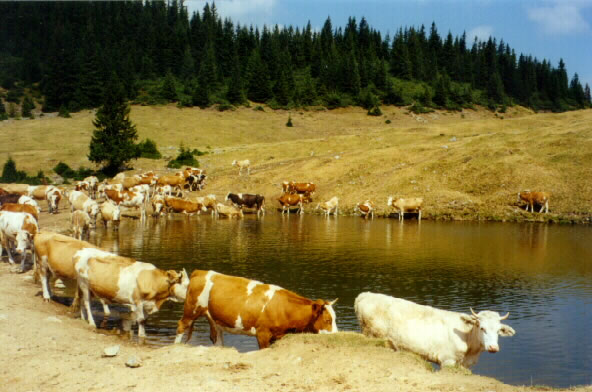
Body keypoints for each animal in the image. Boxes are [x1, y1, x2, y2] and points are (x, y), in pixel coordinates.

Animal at [173, 270, 338, 350]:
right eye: (327, 320)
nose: (337, 335)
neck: (282, 308)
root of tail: (200, 272)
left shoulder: (277, 335)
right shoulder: (262, 333)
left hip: (214, 319)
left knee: (217, 337)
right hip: (192, 309)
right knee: (181, 326)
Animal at [354, 292, 516, 370]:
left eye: (498, 330)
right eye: (482, 328)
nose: (493, 348)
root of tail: (365, 294)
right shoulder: (447, 360)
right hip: (370, 334)